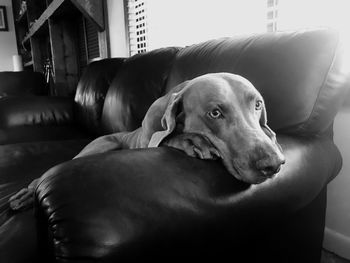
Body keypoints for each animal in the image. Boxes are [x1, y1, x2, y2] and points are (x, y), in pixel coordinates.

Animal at [9, 73, 286, 211]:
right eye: (215, 113)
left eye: (258, 104)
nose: (273, 164)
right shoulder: (150, 139)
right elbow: (168, 137)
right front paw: (193, 141)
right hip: (99, 146)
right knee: (43, 176)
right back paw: (25, 195)